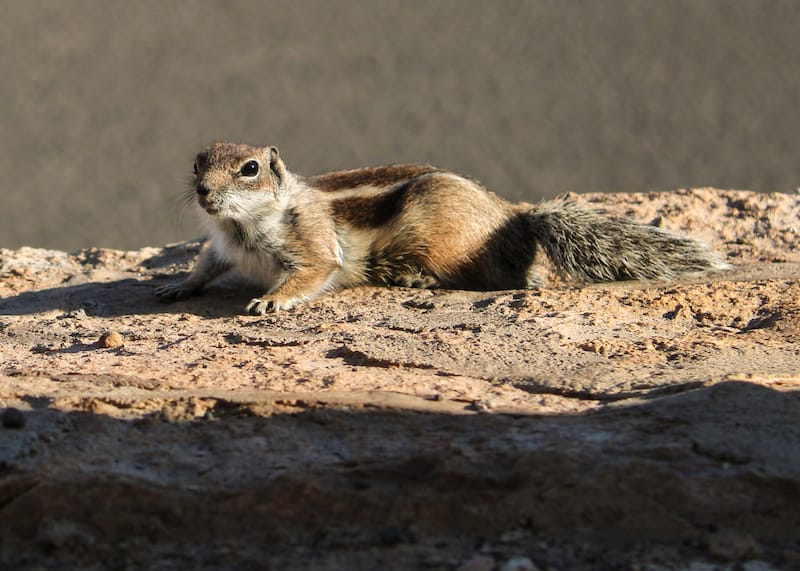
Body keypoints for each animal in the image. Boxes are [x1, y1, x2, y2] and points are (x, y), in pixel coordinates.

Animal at [153, 141, 728, 316]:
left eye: (249, 168)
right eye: (198, 161)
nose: (203, 193)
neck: (241, 226)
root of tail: (516, 218)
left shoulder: (311, 238)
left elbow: (315, 268)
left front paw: (270, 300)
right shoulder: (221, 247)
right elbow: (203, 266)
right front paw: (175, 285)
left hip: (442, 239)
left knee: (506, 279)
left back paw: (415, 278)